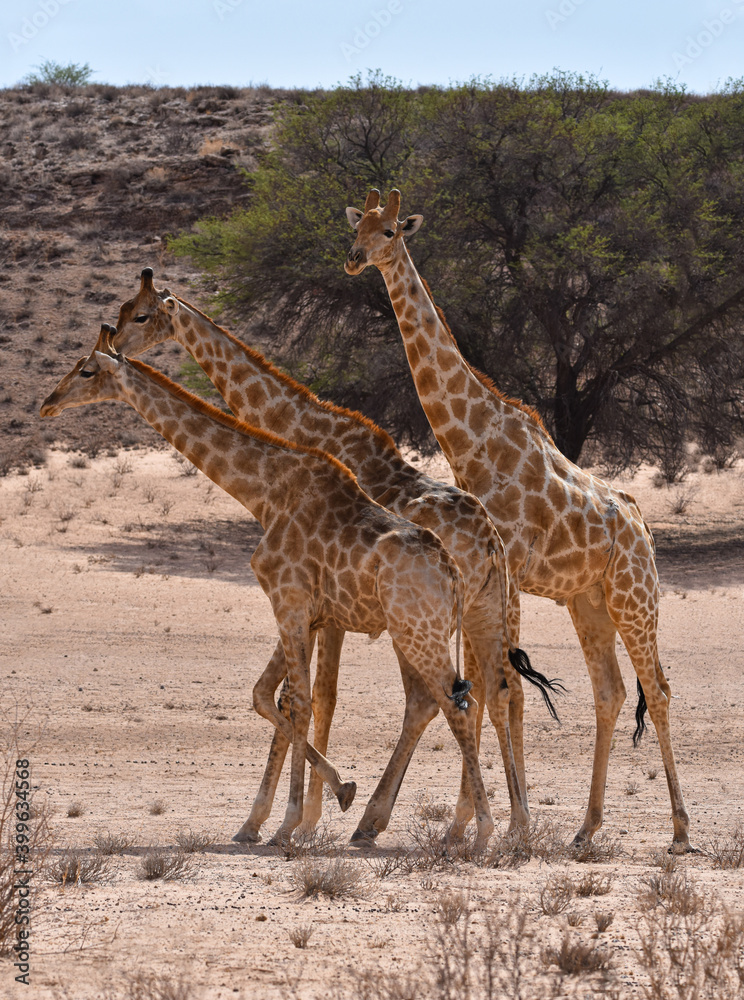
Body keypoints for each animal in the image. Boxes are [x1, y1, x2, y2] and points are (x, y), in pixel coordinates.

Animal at [40, 325, 496, 848]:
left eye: (87, 370)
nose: (48, 404)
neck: (264, 492)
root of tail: (452, 570)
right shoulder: (307, 613)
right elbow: (269, 696)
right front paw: (301, 806)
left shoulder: (289, 603)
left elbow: (298, 703)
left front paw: (289, 821)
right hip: (429, 630)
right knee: (455, 700)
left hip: (416, 632)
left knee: (454, 705)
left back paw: (478, 833)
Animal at [345, 189, 693, 852]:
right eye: (355, 226)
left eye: (390, 231)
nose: (353, 259)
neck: (471, 440)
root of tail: (642, 527)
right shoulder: (485, 579)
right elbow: (486, 687)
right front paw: (480, 824)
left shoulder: (502, 573)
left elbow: (494, 688)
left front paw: (494, 825)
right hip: (588, 601)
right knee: (610, 693)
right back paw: (585, 829)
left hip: (636, 597)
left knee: (658, 690)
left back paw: (681, 833)